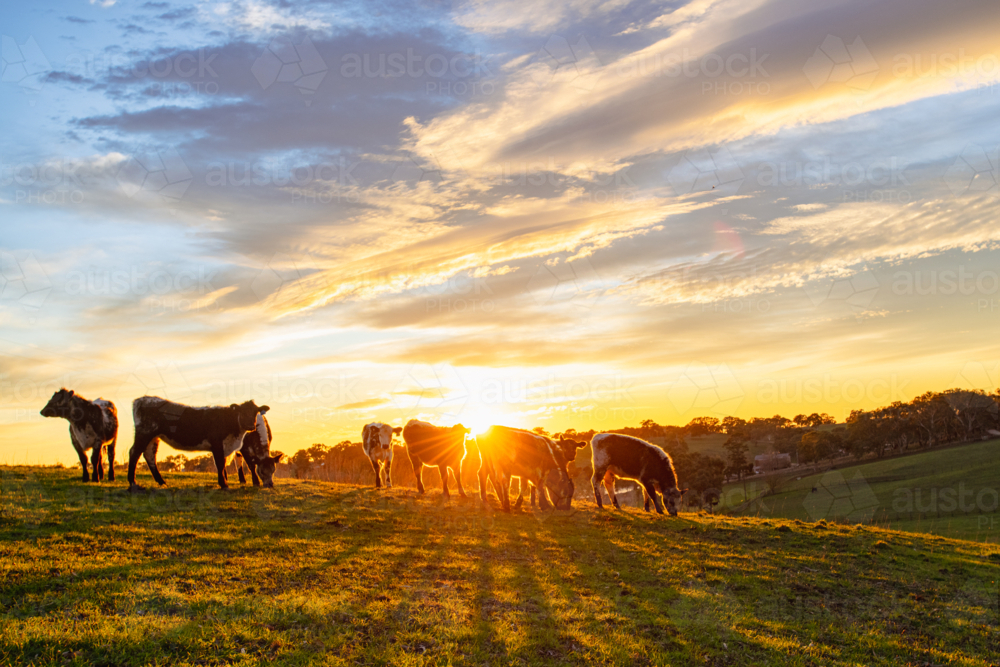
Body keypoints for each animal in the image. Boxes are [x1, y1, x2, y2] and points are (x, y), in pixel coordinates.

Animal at [129, 396, 270, 490]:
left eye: (255, 412)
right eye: (242, 412)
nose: (250, 425)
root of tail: (141, 399)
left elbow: (224, 464)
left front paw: (224, 482)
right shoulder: (217, 444)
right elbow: (220, 464)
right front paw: (224, 484)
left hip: (153, 436)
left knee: (149, 455)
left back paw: (161, 482)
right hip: (144, 432)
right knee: (134, 452)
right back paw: (133, 482)